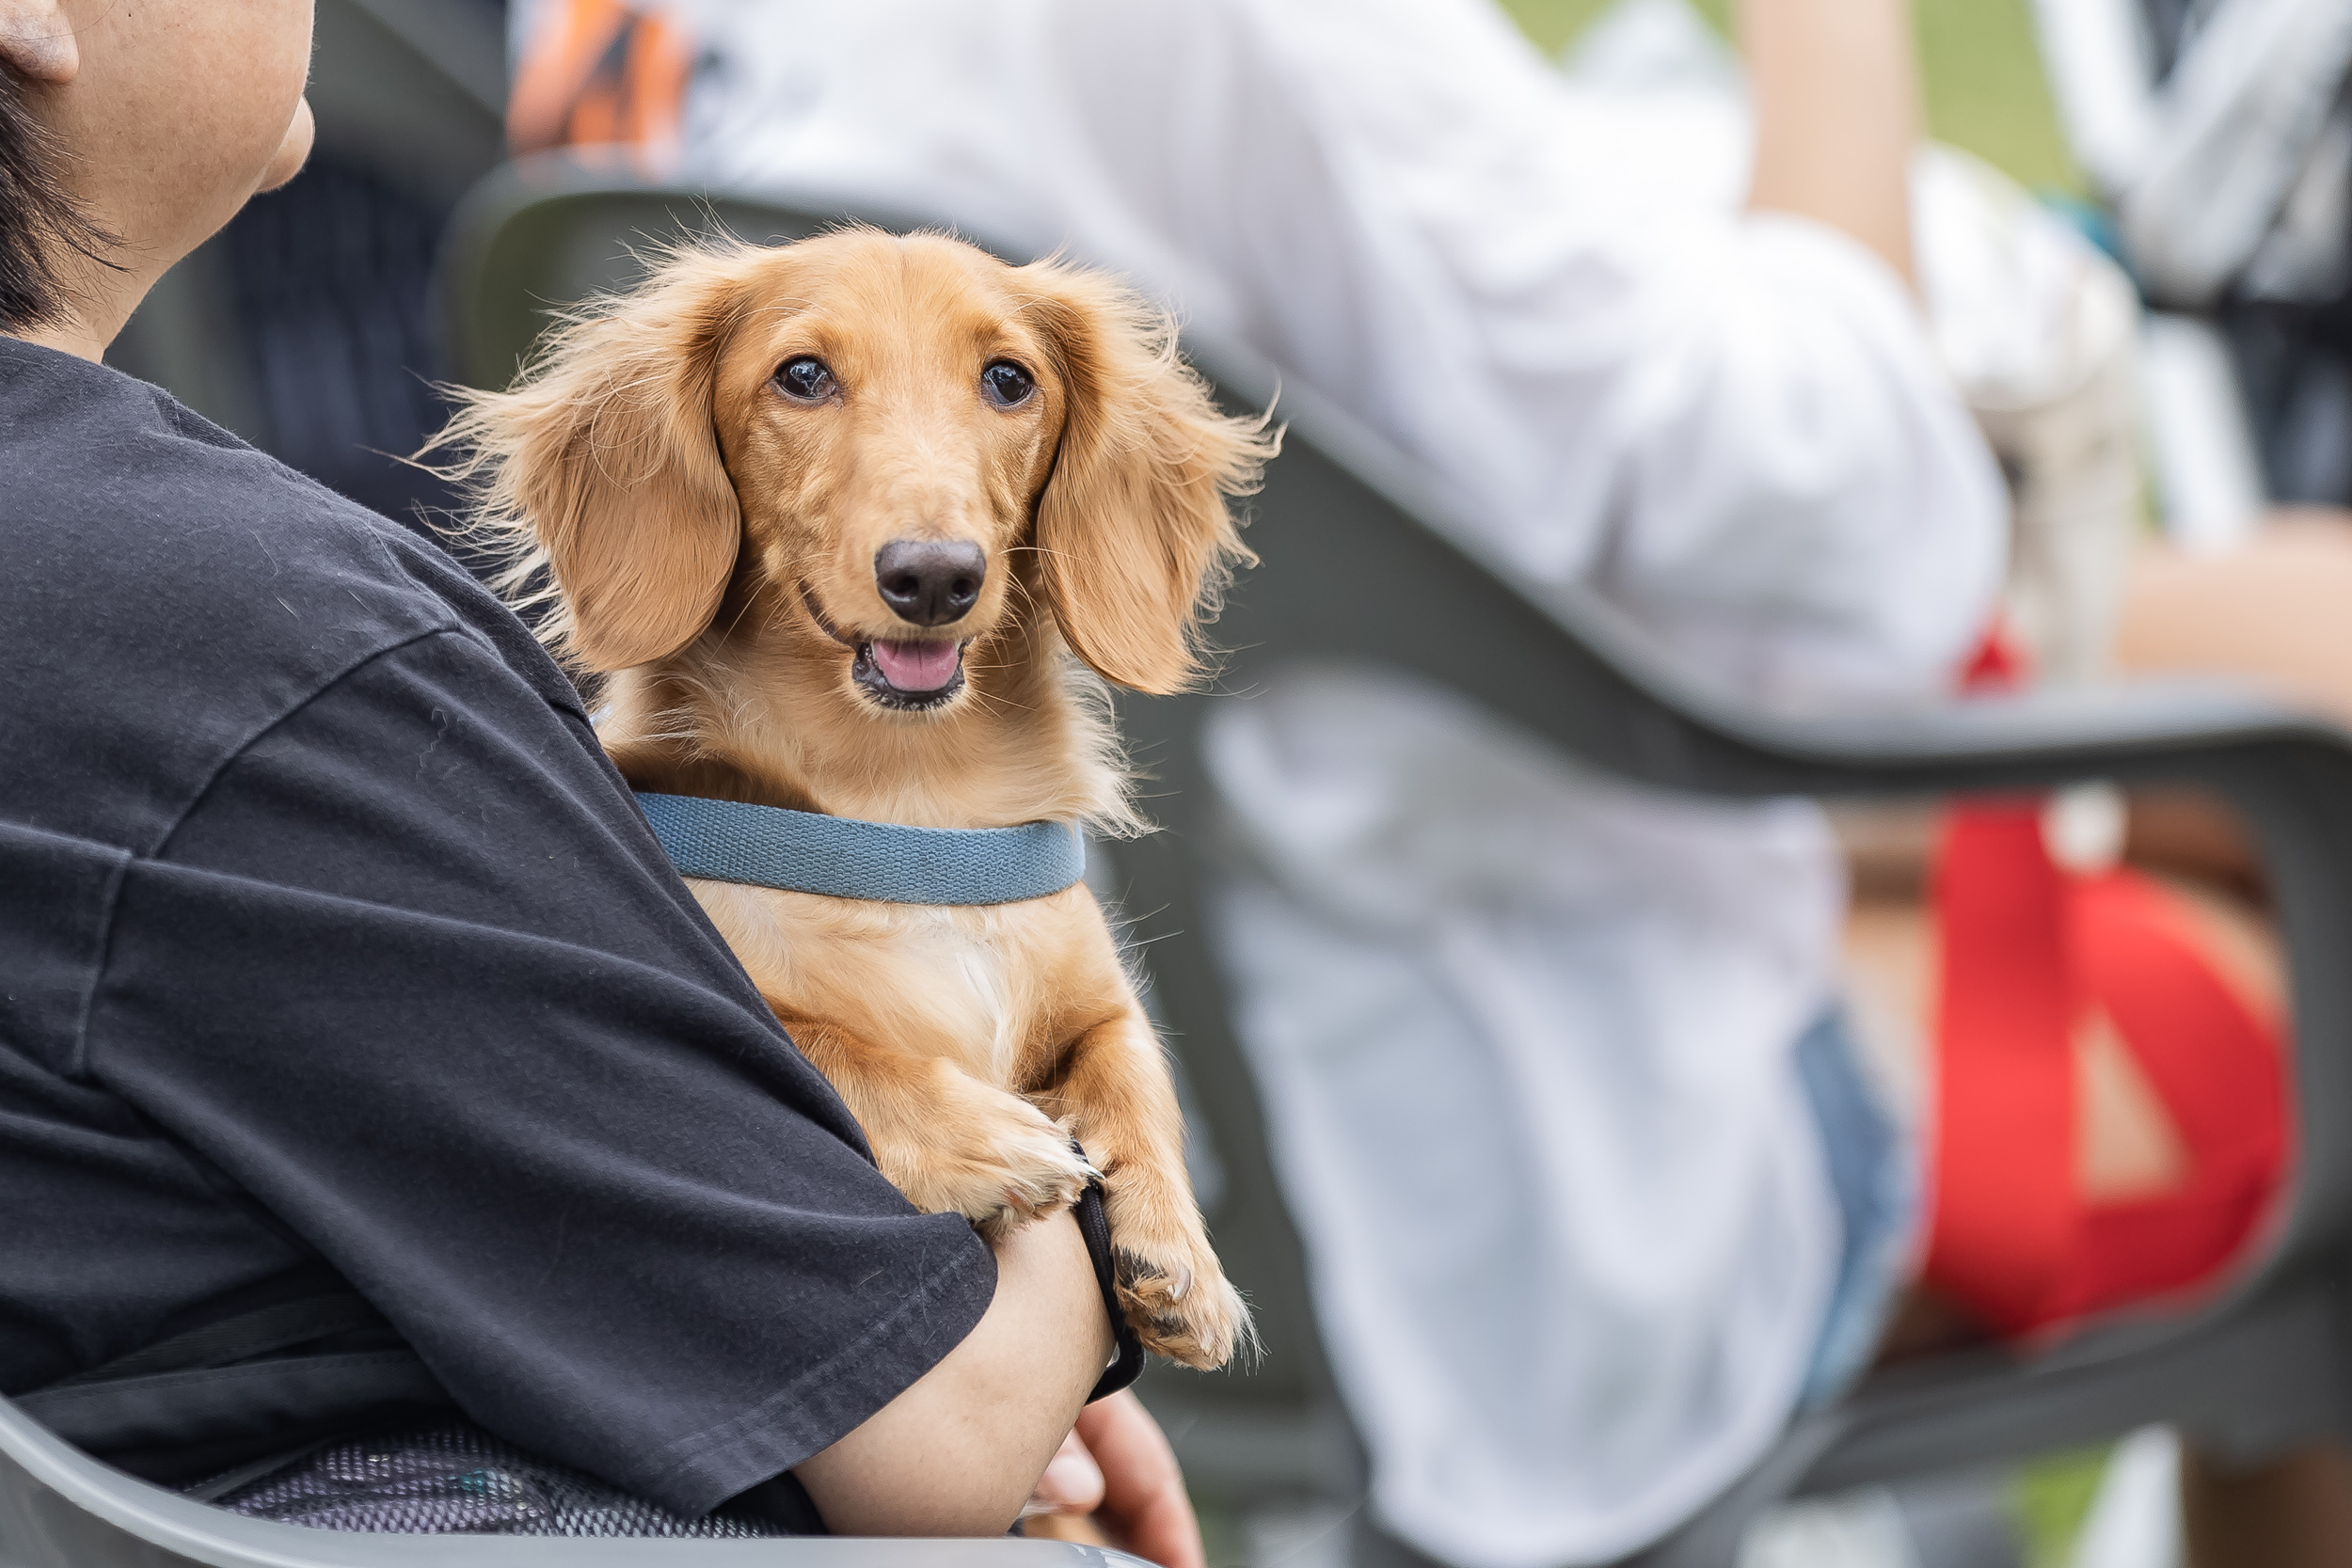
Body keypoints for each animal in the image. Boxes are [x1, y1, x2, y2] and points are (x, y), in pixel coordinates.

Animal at [423, 227, 1270, 1363]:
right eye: (802, 376)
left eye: (1009, 380)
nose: (936, 577)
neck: (903, 813)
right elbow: (820, 1045)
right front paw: (982, 1136)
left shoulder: (1091, 985)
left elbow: (1133, 1067)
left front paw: (1177, 1249)